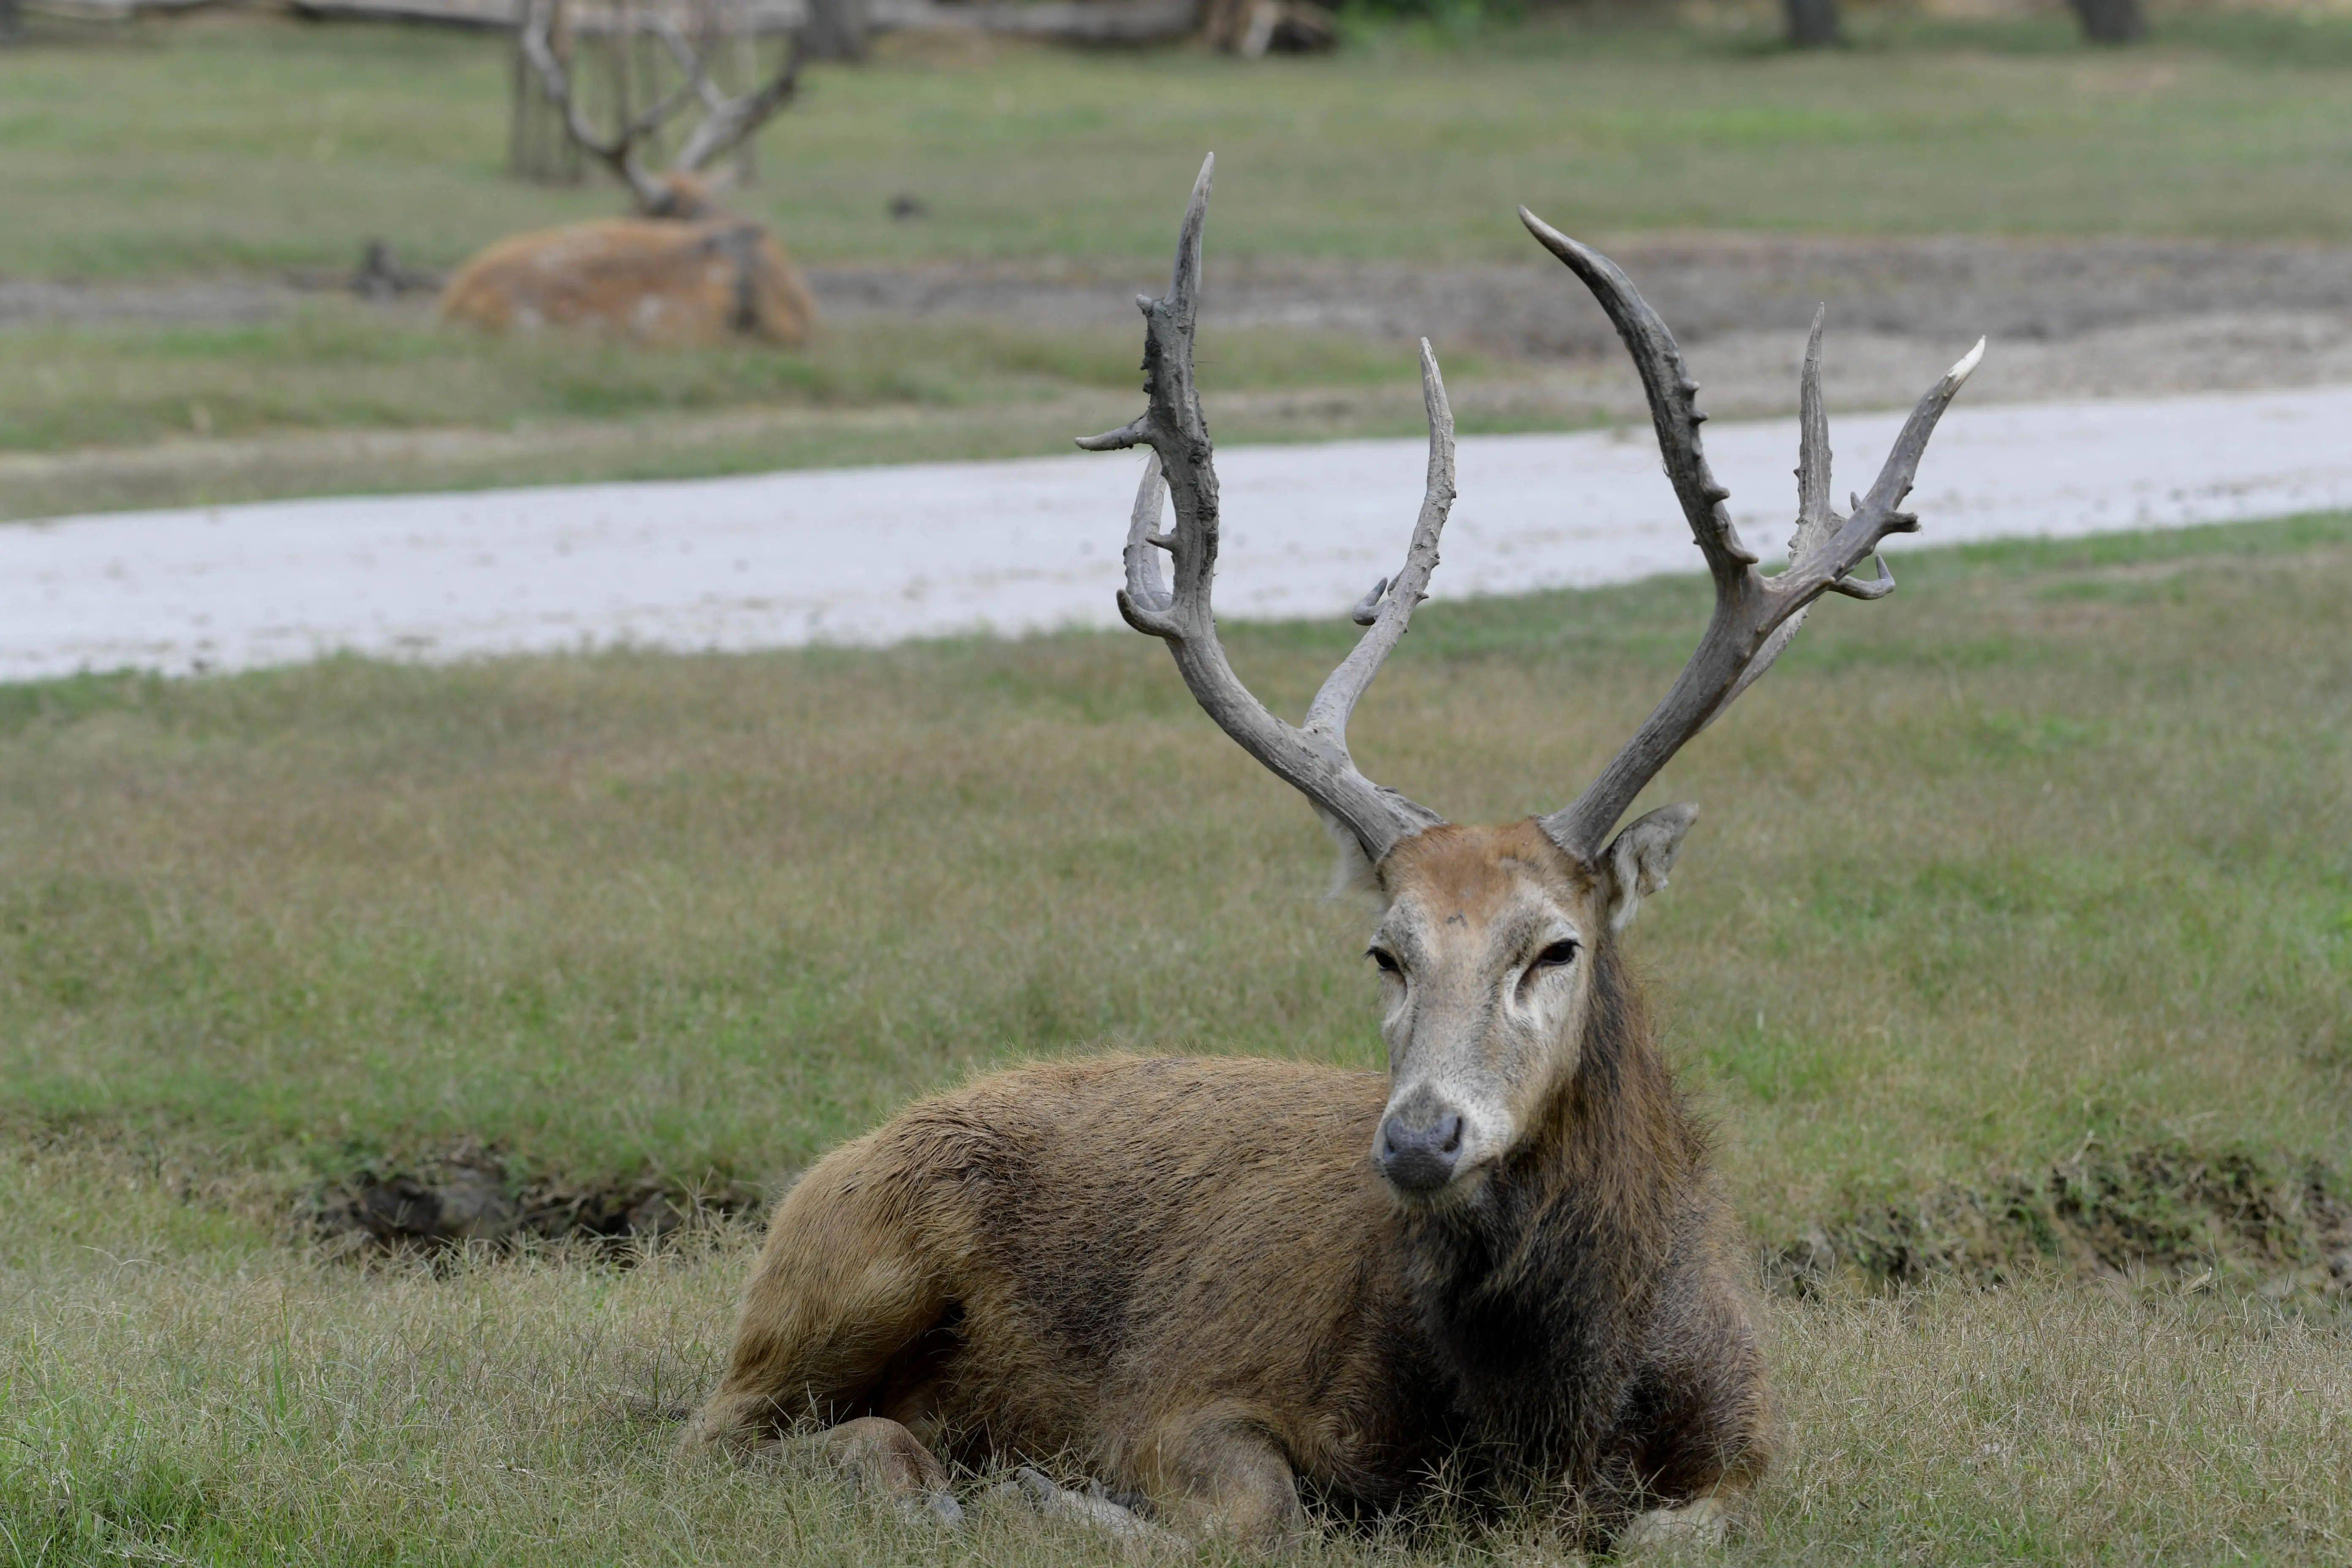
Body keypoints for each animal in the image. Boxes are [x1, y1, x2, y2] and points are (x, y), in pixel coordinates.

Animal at [686, 160, 1985, 1561]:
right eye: (1386, 950)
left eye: (1555, 945)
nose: (1419, 1137)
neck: (1544, 1433)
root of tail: (840, 1153)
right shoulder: (1187, 1397)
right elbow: (1261, 1510)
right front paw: (1050, 1489)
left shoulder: (1749, 1440)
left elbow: (1673, 1526)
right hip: (845, 1261)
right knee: (728, 1431)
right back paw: (932, 1473)